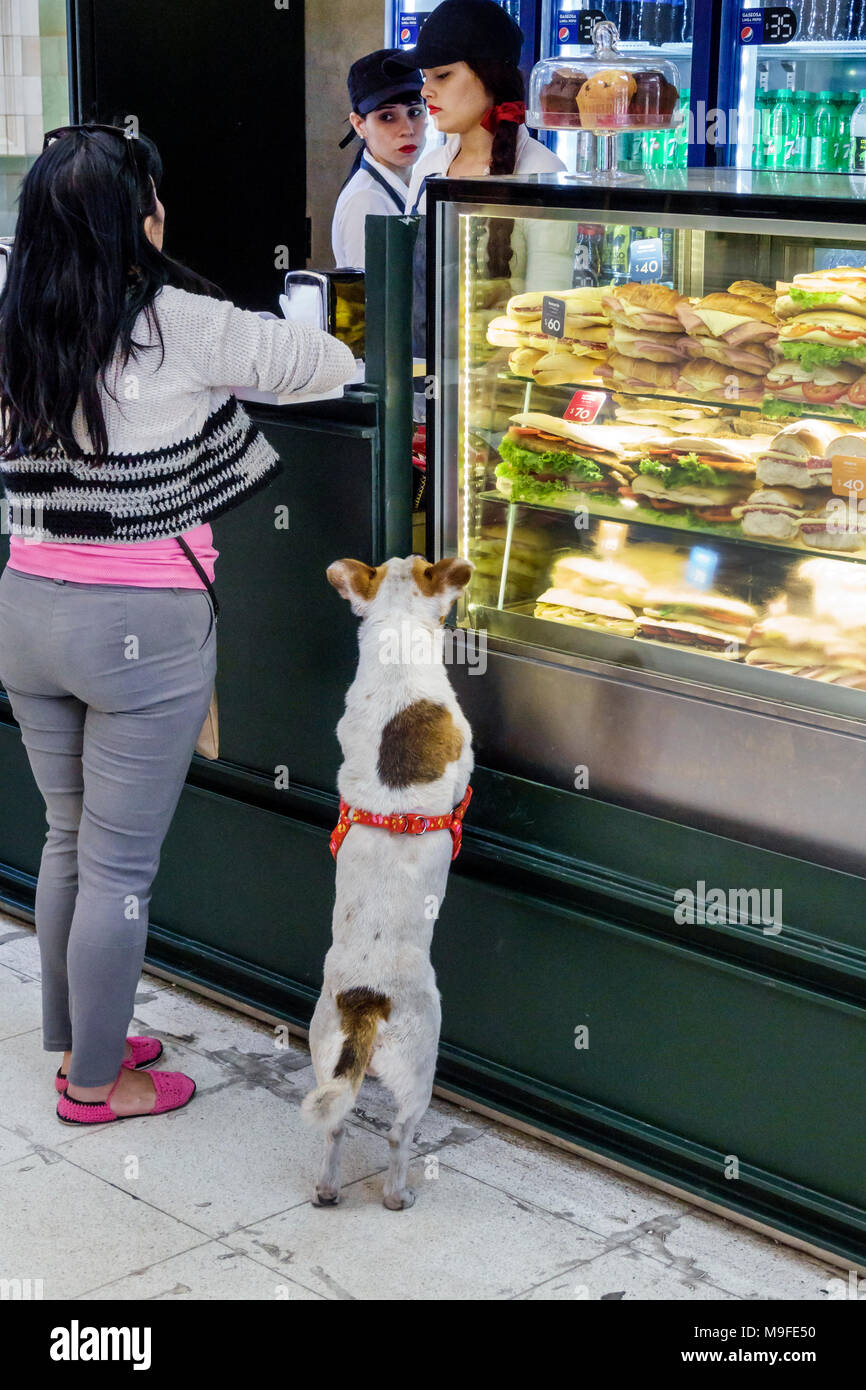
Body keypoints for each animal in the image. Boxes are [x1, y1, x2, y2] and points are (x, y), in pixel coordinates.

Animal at [300, 553, 475, 1206]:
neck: (397, 640)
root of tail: (365, 1003)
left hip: (323, 1048)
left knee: (334, 1128)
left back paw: (327, 1189)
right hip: (420, 1062)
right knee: (400, 1135)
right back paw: (400, 1195)